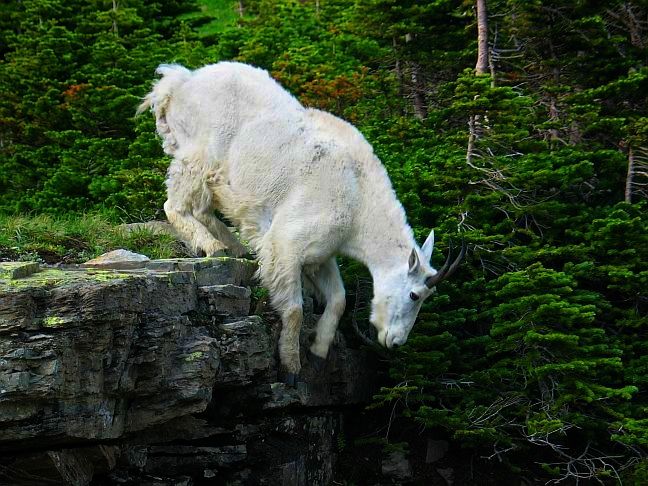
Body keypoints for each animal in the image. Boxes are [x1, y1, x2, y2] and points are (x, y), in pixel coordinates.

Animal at [139, 62, 464, 386]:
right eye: (414, 294)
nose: (394, 342)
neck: (358, 202)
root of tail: (179, 83)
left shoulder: (321, 253)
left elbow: (339, 299)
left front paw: (318, 352)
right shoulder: (289, 243)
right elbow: (295, 308)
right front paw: (291, 366)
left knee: (205, 208)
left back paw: (234, 246)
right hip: (198, 155)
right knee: (176, 205)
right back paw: (213, 246)